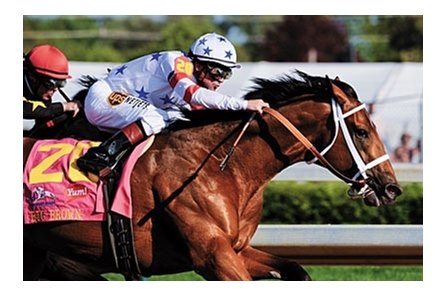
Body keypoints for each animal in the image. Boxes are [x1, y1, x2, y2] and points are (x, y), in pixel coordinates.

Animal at [23, 70, 402, 278]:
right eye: (361, 131)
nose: (391, 187)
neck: (222, 165)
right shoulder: (212, 258)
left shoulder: (236, 250)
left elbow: (295, 269)